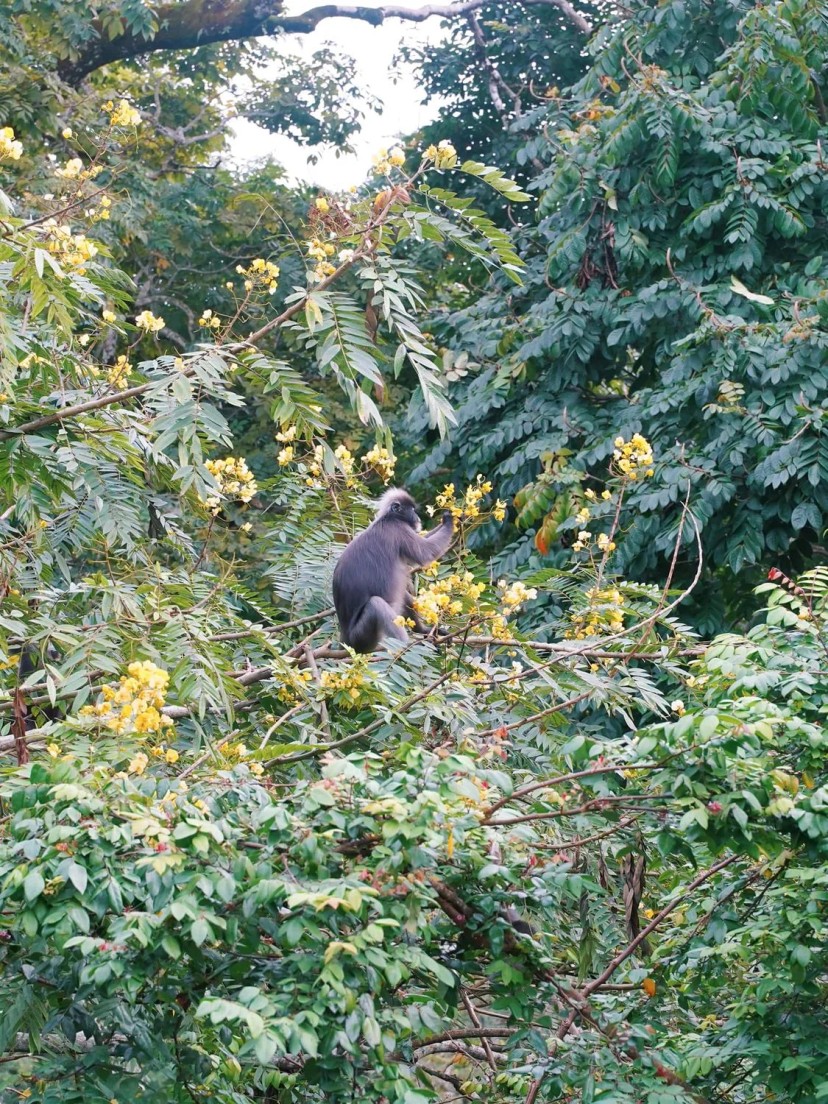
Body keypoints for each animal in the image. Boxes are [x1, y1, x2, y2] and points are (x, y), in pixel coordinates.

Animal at [333, 487, 457, 649]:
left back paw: (422, 630)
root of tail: (345, 639)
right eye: (412, 509)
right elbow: (426, 552)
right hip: (361, 638)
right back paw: (404, 647)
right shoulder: (399, 529)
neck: (388, 518)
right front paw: (449, 520)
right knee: (376, 605)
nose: (417, 517)